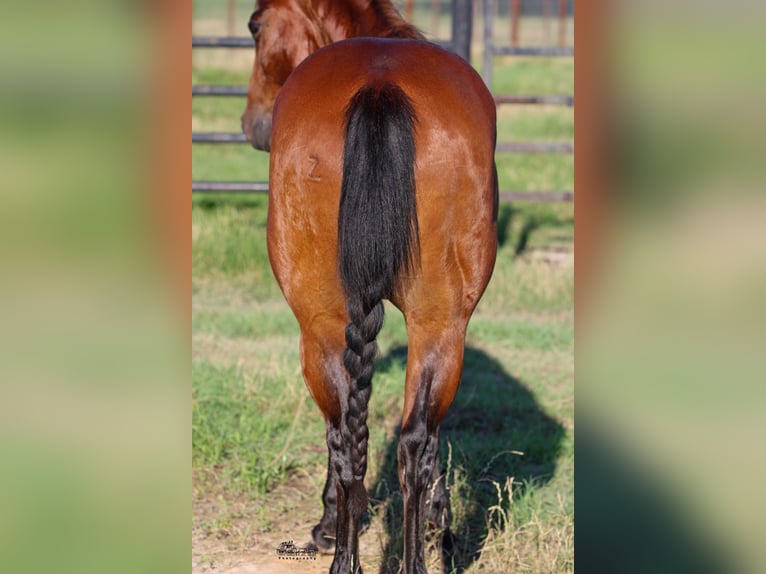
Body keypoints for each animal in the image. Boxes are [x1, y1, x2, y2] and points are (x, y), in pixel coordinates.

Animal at [243, 2, 500, 572]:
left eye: (253, 25)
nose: (251, 123)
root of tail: (380, 85)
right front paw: (437, 520)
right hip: (434, 322)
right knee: (405, 441)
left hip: (322, 326)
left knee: (349, 434)